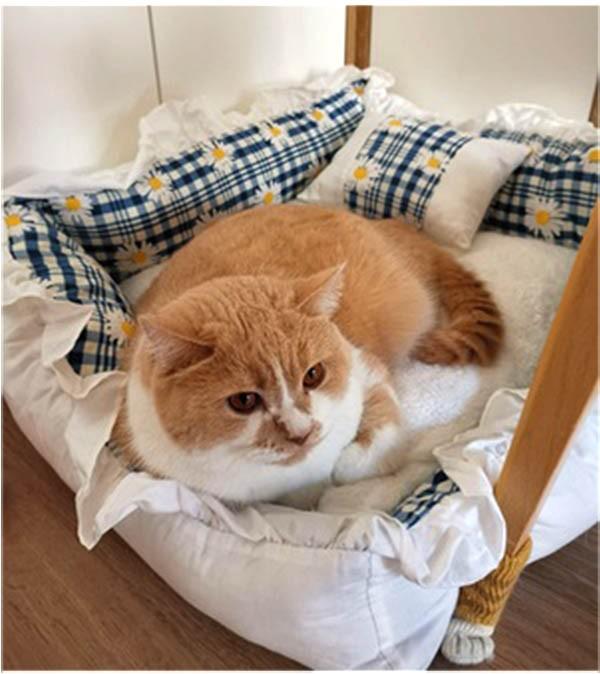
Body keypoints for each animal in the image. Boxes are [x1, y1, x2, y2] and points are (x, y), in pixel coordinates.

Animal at [112, 203, 503, 508]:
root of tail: (387, 226)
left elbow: (365, 455)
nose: (301, 432)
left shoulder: (365, 369)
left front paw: (342, 467)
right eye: (243, 401)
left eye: (314, 375)